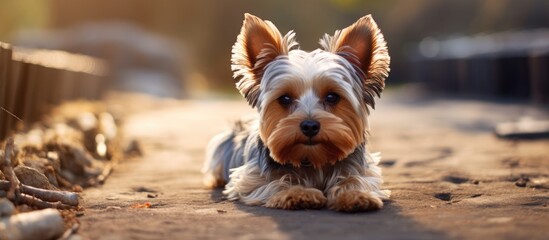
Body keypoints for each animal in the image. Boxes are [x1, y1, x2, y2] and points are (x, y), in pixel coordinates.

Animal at [204, 13, 390, 212]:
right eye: (285, 98)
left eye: (332, 97)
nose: (309, 126)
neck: (312, 160)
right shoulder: (250, 178)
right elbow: (275, 182)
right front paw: (298, 193)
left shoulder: (364, 169)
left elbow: (357, 178)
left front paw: (356, 194)